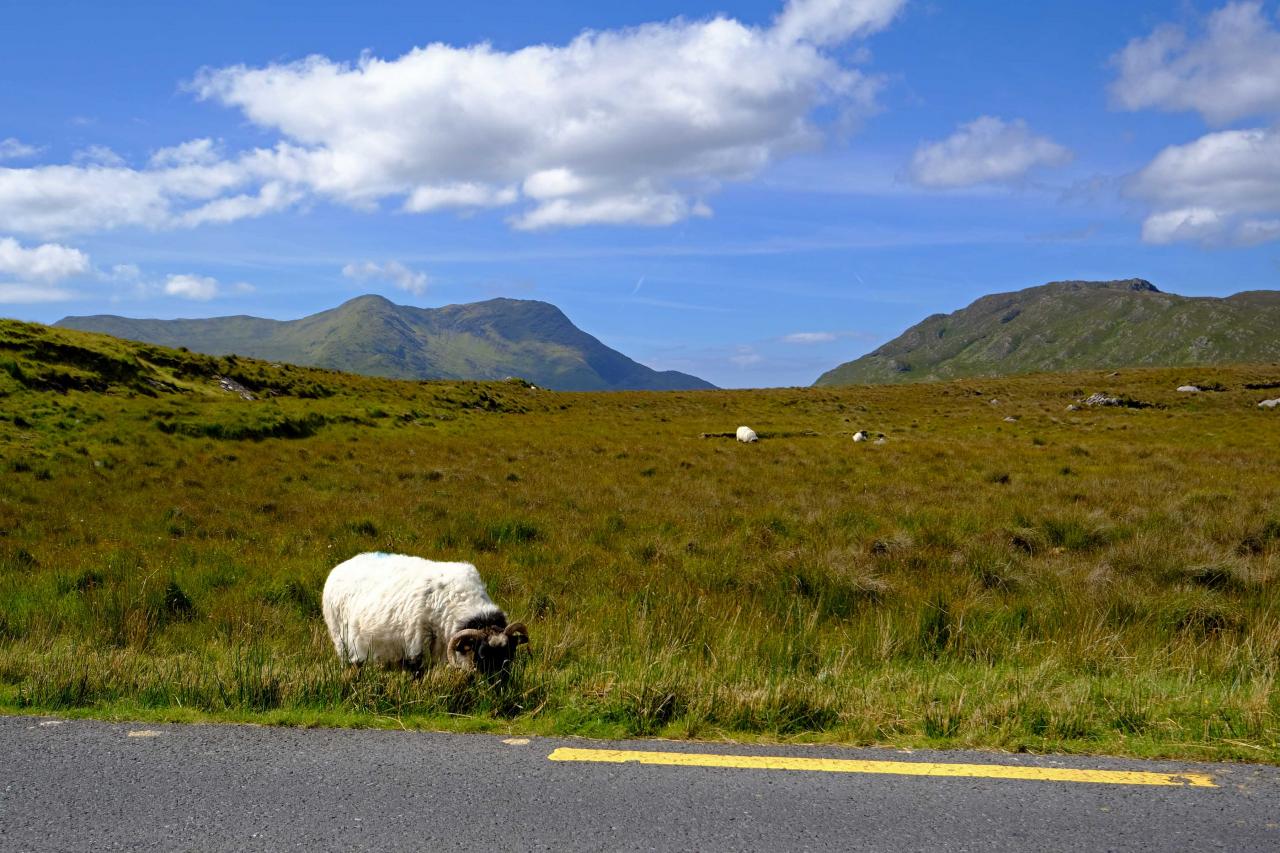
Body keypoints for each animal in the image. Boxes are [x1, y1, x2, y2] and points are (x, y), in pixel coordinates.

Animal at [322, 550, 527, 676]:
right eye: (483, 654)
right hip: (341, 642)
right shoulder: (416, 651)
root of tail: (340, 566)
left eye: (510, 652)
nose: (499, 687)